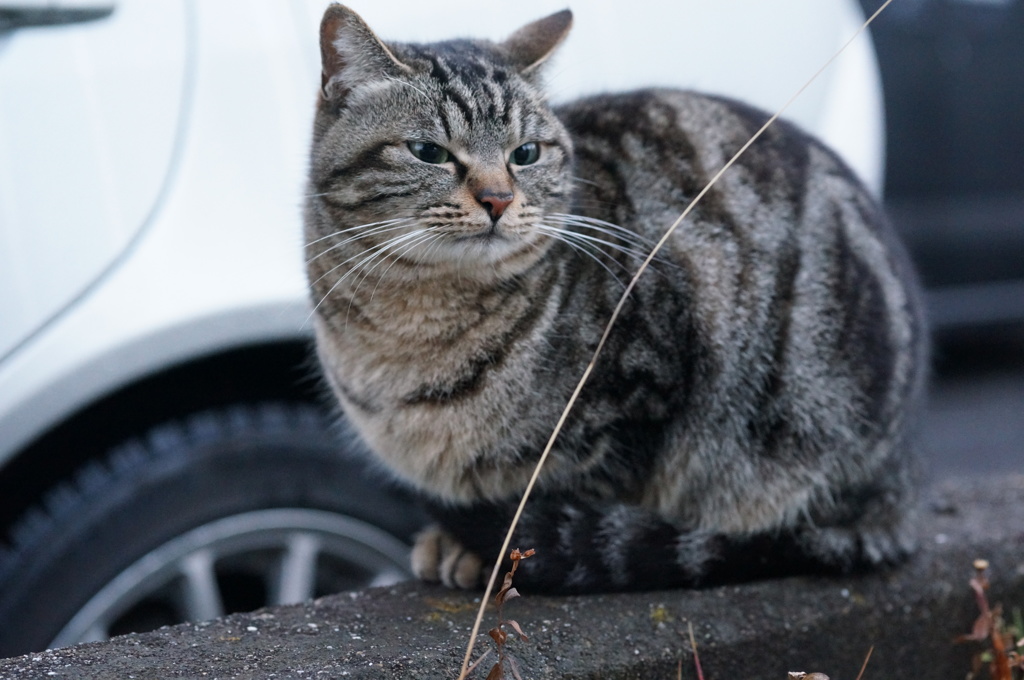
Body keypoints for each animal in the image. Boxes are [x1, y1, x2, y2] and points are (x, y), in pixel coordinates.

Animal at [303, 2, 929, 593]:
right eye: (428, 151)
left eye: (525, 153)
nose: (498, 199)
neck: (410, 323)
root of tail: (898, 488)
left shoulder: (636, 400)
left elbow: (557, 498)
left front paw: (475, 549)